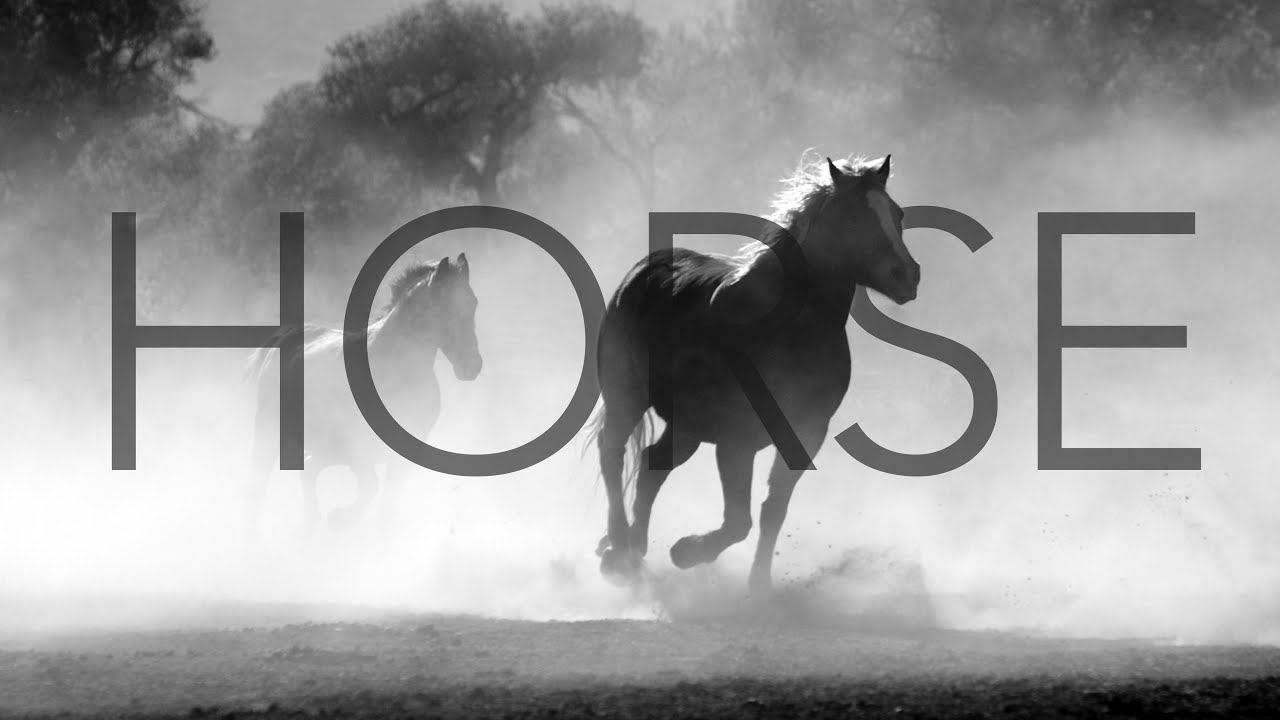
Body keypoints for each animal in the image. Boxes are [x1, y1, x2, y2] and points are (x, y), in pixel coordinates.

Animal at [243, 253, 481, 542]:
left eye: (473, 303)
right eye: (442, 307)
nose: (472, 366)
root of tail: (287, 338)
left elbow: (387, 500)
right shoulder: (356, 448)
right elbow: (371, 486)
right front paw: (341, 519)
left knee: (308, 472)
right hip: (270, 431)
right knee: (258, 484)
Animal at [590, 153, 919, 594]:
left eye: (897, 214)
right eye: (853, 216)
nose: (908, 275)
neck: (790, 331)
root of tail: (644, 270)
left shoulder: (806, 435)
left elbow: (771, 511)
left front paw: (758, 586)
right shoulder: (736, 440)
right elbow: (738, 521)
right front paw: (687, 552)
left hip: (686, 426)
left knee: (649, 465)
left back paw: (635, 551)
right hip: (625, 396)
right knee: (612, 454)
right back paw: (619, 550)